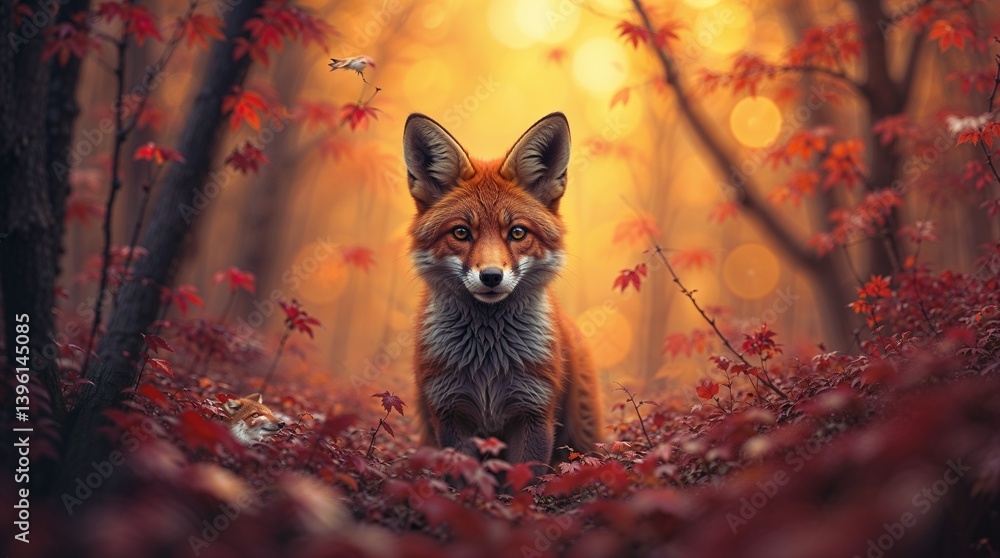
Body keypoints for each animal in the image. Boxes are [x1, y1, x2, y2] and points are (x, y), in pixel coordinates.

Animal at [403, 111, 602, 469]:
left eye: (518, 232)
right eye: (461, 232)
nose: (492, 276)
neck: (488, 365)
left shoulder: (534, 410)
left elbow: (523, 478)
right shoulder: (448, 410)